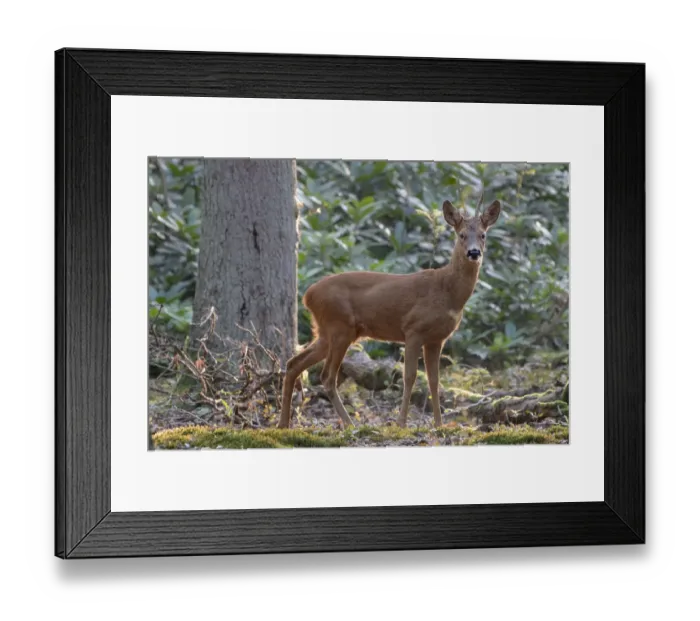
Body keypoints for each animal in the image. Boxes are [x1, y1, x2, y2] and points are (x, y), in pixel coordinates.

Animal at [278, 193, 501, 430]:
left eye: (483, 235)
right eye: (461, 235)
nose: (474, 252)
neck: (448, 291)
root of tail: (308, 295)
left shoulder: (436, 339)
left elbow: (434, 380)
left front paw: (439, 424)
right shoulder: (413, 329)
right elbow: (410, 377)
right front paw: (401, 423)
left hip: (326, 331)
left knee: (294, 363)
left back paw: (283, 424)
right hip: (340, 327)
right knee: (327, 376)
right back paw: (350, 424)